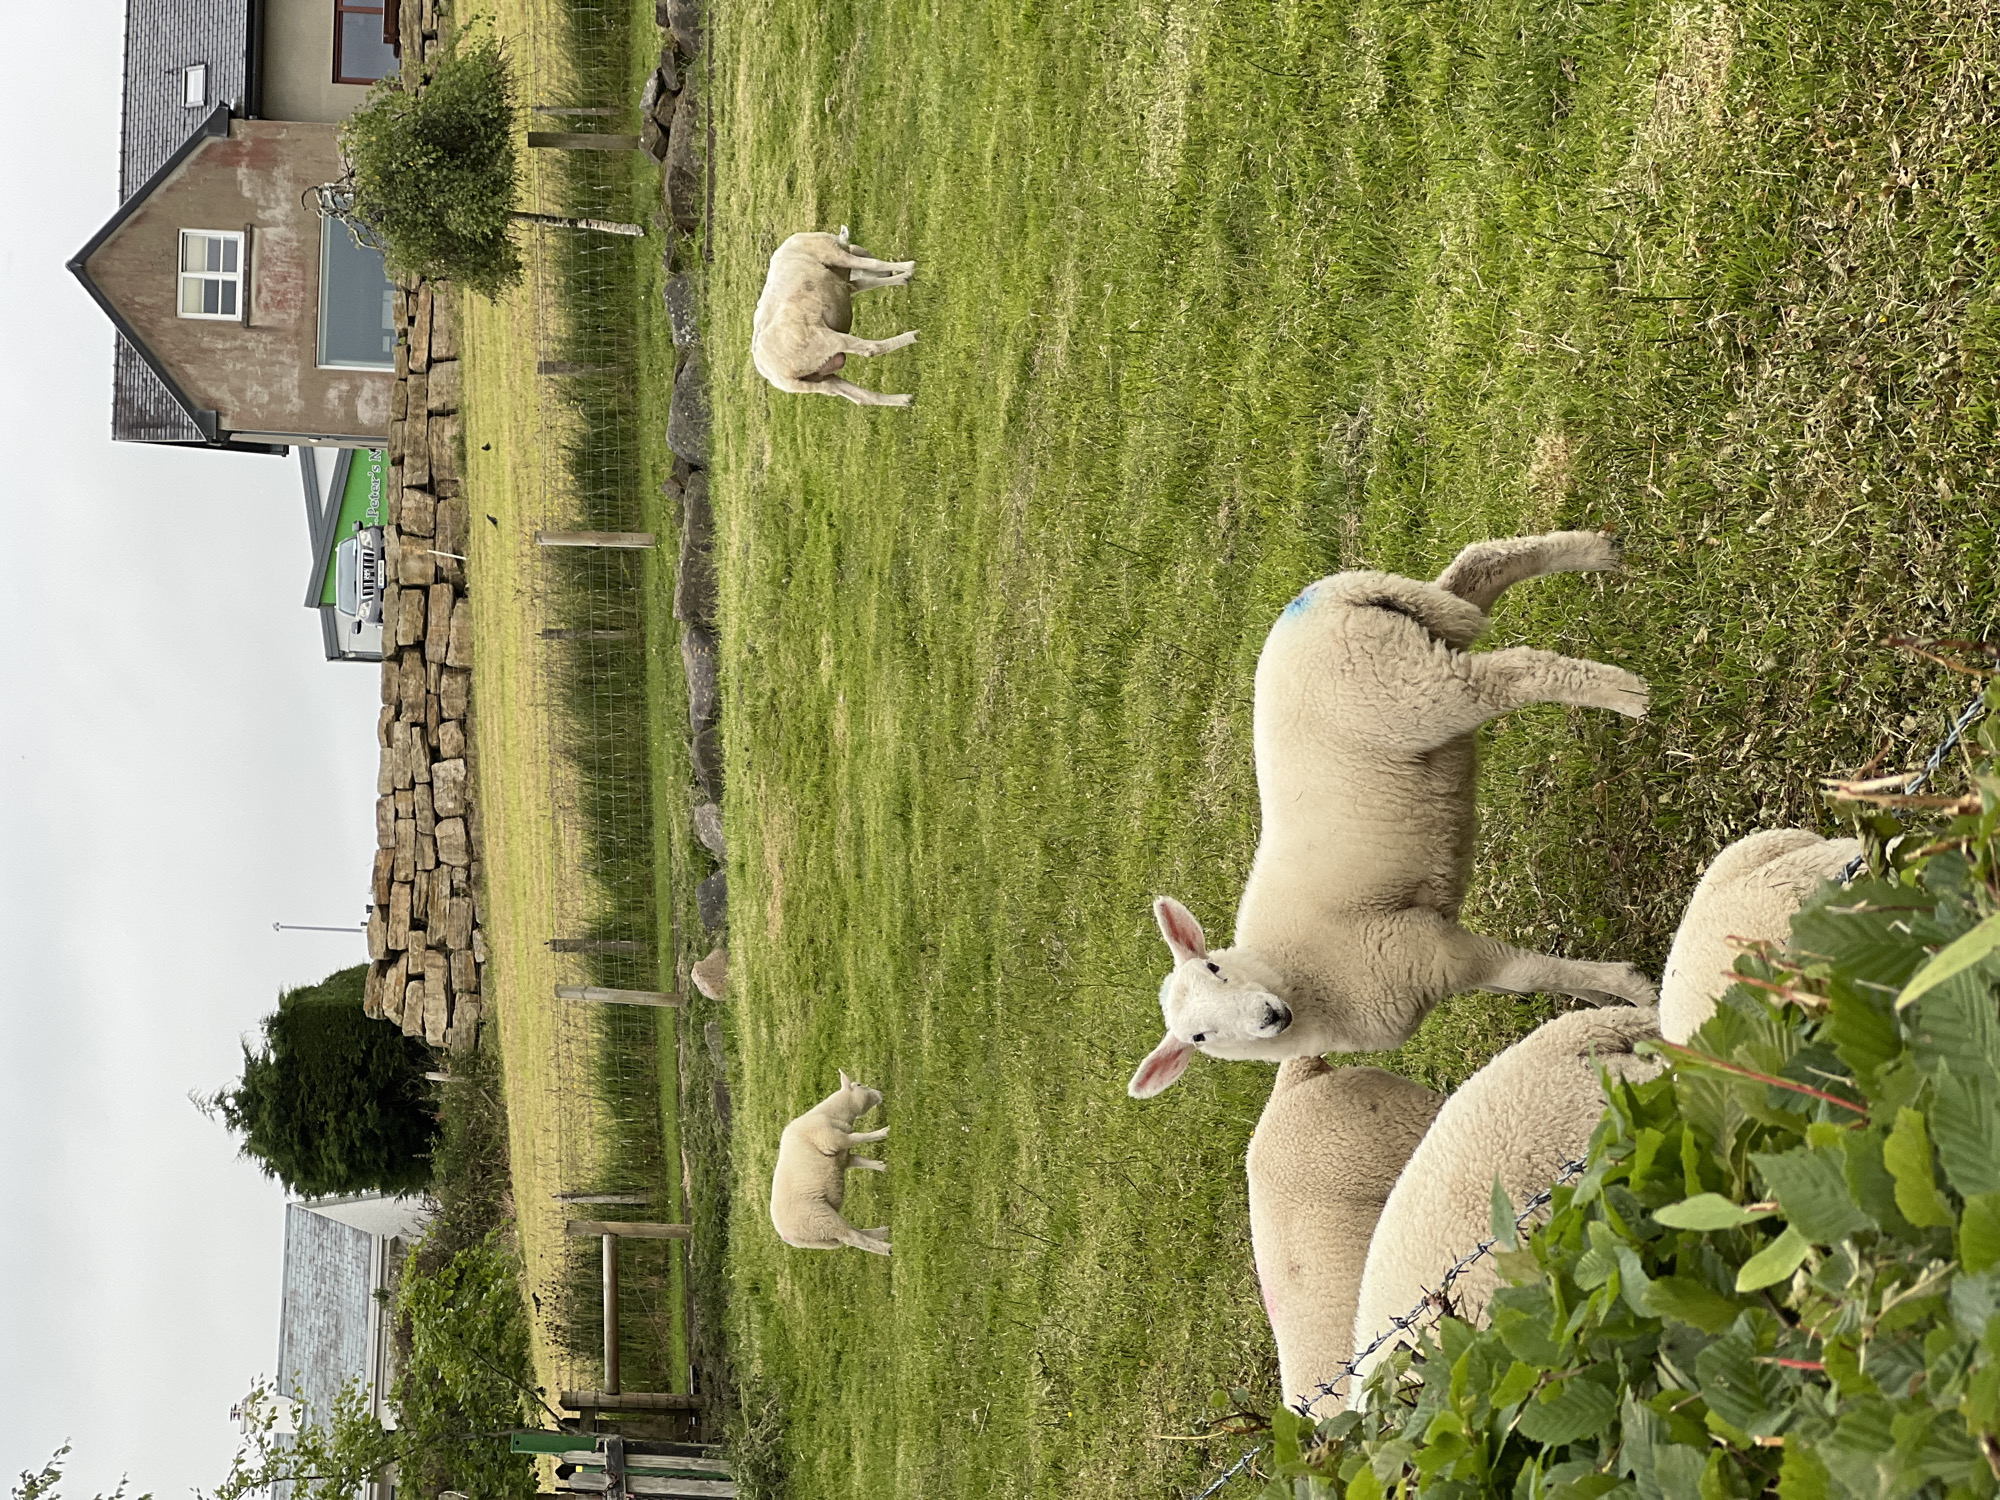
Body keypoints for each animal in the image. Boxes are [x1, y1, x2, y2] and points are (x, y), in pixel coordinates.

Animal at [751, 228, 917, 407]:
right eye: (865, 251)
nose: (888, 272)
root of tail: (777, 376)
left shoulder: (844, 285)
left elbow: (867, 282)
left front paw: (903, 277)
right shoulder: (834, 254)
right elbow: (871, 264)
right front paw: (909, 267)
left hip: (816, 378)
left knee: (857, 396)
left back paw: (903, 400)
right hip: (823, 341)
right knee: (871, 348)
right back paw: (913, 336)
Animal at [768, 1070, 892, 1255]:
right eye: (859, 1085)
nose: (880, 1093)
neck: (832, 1114)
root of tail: (788, 1237)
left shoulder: (843, 1157)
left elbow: (860, 1160)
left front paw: (882, 1166)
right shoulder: (833, 1139)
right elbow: (858, 1137)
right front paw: (882, 1133)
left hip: (823, 1227)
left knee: (852, 1231)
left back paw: (882, 1232)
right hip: (820, 1218)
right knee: (852, 1237)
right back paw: (886, 1248)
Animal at [1129, 531, 1658, 1099]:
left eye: (1215, 968)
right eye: (1200, 1037)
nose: (1269, 1017)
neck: (1300, 982)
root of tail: (1323, 598)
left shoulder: (1419, 950)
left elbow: (1527, 975)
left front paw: (1637, 992)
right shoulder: (1427, 954)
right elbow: (1526, 978)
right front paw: (1606, 1000)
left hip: (1403, 689)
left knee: (1510, 674)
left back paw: (1628, 694)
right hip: (1410, 642)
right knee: (1476, 571)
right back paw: (1596, 553)